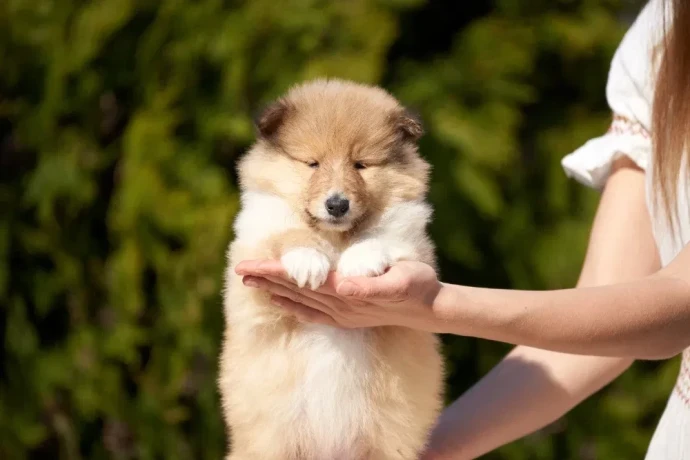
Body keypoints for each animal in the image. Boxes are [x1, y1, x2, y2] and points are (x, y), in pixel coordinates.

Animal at [220, 80, 446, 460]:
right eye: (313, 163)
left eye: (361, 164)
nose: (337, 204)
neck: (336, 237)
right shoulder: (253, 265)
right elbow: (287, 233)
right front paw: (307, 260)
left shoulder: (415, 247)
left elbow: (383, 235)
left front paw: (360, 261)